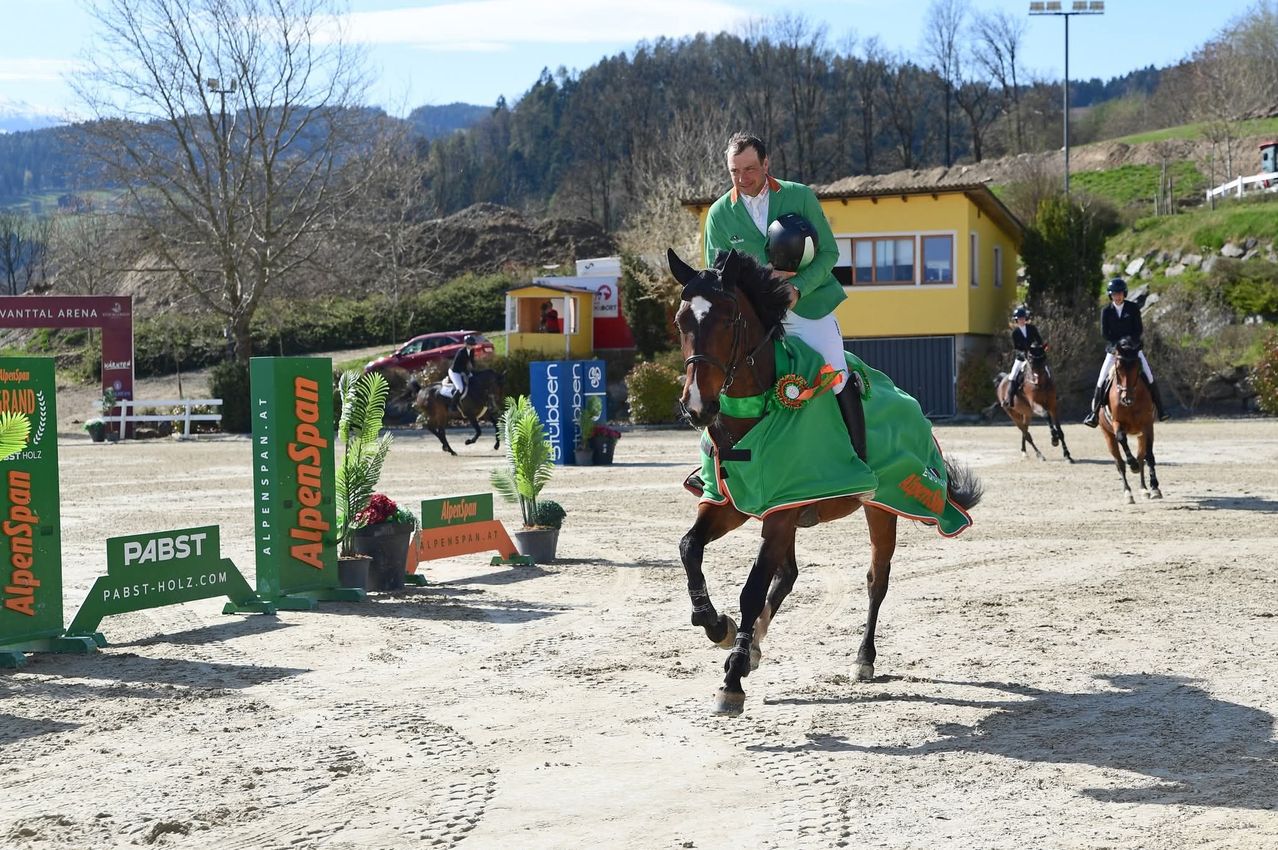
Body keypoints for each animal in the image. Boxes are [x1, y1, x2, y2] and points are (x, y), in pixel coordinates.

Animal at [668, 247, 982, 716]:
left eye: (726, 319)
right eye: (681, 322)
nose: (697, 407)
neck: (751, 411)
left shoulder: (780, 512)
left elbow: (752, 589)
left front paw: (732, 678)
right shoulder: (734, 504)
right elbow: (689, 548)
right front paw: (716, 625)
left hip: (881, 507)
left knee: (876, 579)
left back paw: (862, 659)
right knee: (789, 575)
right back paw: (754, 643)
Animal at [1098, 337, 1161, 503]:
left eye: (1138, 367)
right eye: (1118, 368)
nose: (1126, 399)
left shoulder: (1147, 425)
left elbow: (1149, 456)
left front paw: (1154, 488)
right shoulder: (1116, 424)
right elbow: (1122, 439)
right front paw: (1131, 464)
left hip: (1140, 435)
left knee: (1141, 458)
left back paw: (1144, 489)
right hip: (1107, 435)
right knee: (1119, 463)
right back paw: (1128, 493)